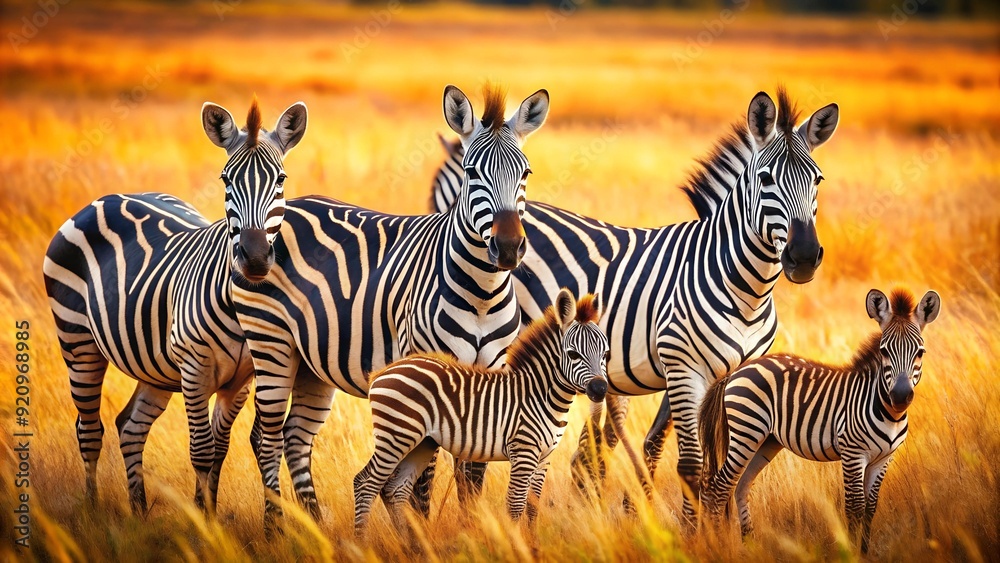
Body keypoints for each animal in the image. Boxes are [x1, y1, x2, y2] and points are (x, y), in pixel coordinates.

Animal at [42, 98, 307, 514]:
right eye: (226, 180)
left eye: (280, 179)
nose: (255, 258)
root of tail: (107, 197)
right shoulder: (195, 371)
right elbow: (201, 451)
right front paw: (203, 524)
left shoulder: (240, 380)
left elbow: (219, 450)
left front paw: (209, 516)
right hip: (78, 343)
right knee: (89, 429)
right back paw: (93, 510)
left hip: (155, 369)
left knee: (130, 426)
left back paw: (138, 514)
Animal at [232, 84, 550, 524]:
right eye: (472, 173)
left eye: (526, 173)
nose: (507, 248)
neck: (483, 292)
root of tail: (278, 213)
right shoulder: (429, 368)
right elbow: (426, 471)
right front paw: (422, 526)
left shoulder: (492, 371)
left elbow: (473, 468)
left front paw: (475, 528)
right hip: (270, 340)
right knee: (265, 435)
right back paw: (276, 528)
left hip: (310, 359)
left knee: (293, 436)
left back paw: (313, 524)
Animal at [353, 288, 620, 534]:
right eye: (573, 354)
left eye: (606, 353)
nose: (599, 389)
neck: (541, 396)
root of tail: (385, 371)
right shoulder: (523, 452)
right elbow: (515, 506)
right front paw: (516, 545)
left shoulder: (544, 457)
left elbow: (533, 507)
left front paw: (532, 545)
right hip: (396, 436)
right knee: (365, 483)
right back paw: (362, 543)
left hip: (421, 442)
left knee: (394, 489)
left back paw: (412, 545)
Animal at [426, 88, 840, 518]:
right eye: (766, 178)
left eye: (817, 179)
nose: (804, 257)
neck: (742, 287)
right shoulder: (683, 367)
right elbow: (691, 464)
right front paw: (692, 529)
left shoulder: (725, 377)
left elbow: (692, 455)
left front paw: (682, 520)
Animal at [699, 288, 941, 553]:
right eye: (884, 351)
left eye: (920, 352)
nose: (899, 396)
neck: (889, 414)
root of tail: (739, 369)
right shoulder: (853, 453)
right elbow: (855, 507)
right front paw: (852, 553)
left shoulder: (883, 459)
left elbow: (870, 508)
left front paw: (864, 552)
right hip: (747, 431)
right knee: (717, 489)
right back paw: (716, 547)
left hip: (766, 440)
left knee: (741, 487)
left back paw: (750, 546)